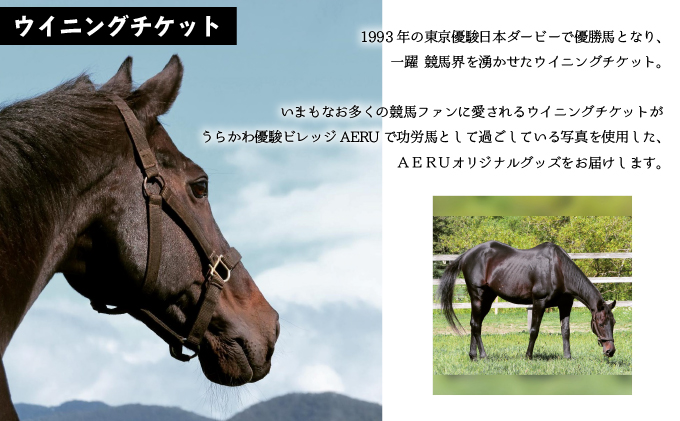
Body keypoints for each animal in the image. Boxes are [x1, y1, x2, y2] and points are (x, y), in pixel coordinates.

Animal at [437, 241, 616, 360]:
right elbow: (534, 330)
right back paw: (483, 355)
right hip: (478, 296)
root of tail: (466, 256)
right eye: (601, 324)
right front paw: (528, 356)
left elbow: (566, 331)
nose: (611, 351)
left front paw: (568, 357)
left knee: (475, 324)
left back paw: (473, 356)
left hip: (487, 299)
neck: (558, 269)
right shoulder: (539, 302)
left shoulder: (565, 305)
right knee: (476, 325)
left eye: (613, 323)